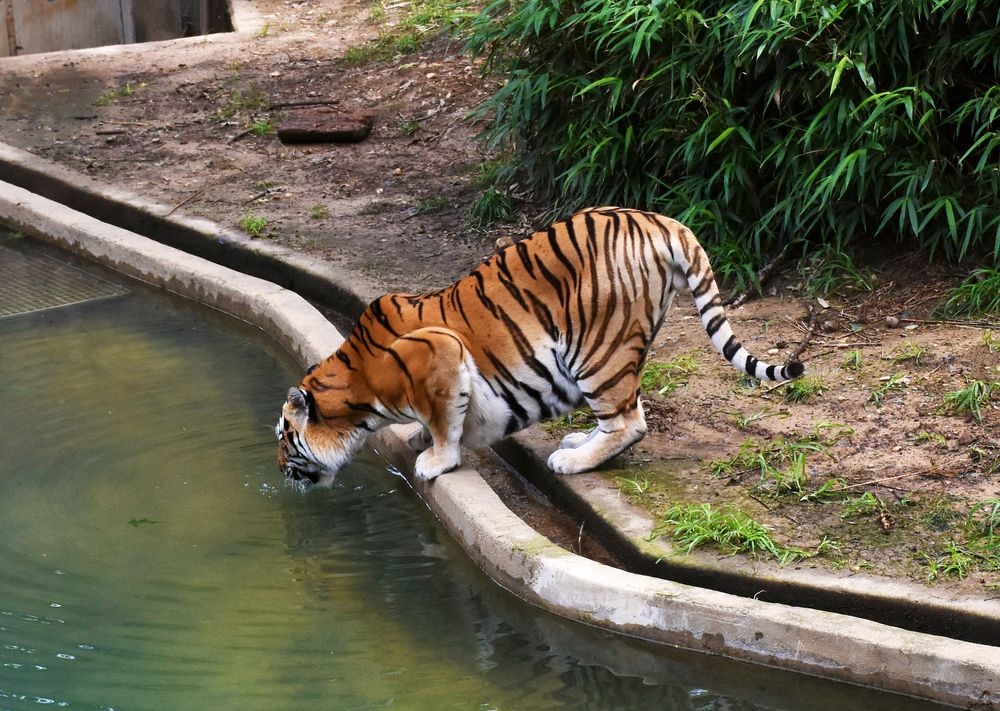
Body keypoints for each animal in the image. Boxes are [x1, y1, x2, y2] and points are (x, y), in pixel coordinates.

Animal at [277, 207, 804, 485]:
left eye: (284, 438)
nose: (279, 472)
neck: (359, 386)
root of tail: (659, 220)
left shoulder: (440, 353)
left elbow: (445, 421)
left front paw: (435, 459)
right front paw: (420, 439)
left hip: (597, 348)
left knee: (629, 421)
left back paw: (571, 460)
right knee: (626, 410)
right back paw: (578, 442)